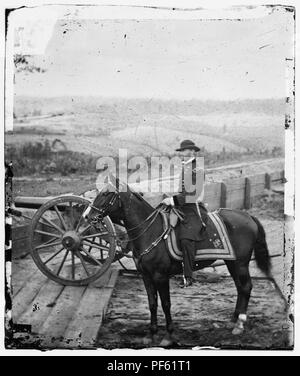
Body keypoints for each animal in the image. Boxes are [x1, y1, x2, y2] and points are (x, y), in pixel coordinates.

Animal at [83, 178, 270, 346]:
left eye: (106, 194)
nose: (87, 216)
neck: (150, 231)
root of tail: (248, 216)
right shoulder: (146, 276)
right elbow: (152, 303)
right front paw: (151, 334)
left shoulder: (160, 276)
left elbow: (166, 304)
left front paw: (168, 335)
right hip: (232, 262)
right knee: (240, 288)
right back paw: (234, 319)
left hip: (240, 263)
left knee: (246, 287)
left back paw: (240, 323)